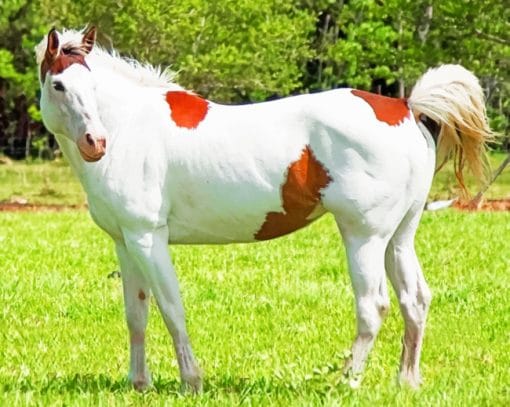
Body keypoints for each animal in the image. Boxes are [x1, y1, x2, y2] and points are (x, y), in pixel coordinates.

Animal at [33, 26, 492, 392]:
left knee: (373, 306)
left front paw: (191, 381)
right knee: (415, 300)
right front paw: (138, 384)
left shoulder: (148, 238)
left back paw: (345, 382)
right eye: (60, 85)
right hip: (400, 236)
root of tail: (403, 108)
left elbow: (171, 308)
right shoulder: (125, 242)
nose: (95, 142)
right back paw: (406, 381)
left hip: (364, 236)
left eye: (92, 87)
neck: (130, 128)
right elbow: (137, 314)